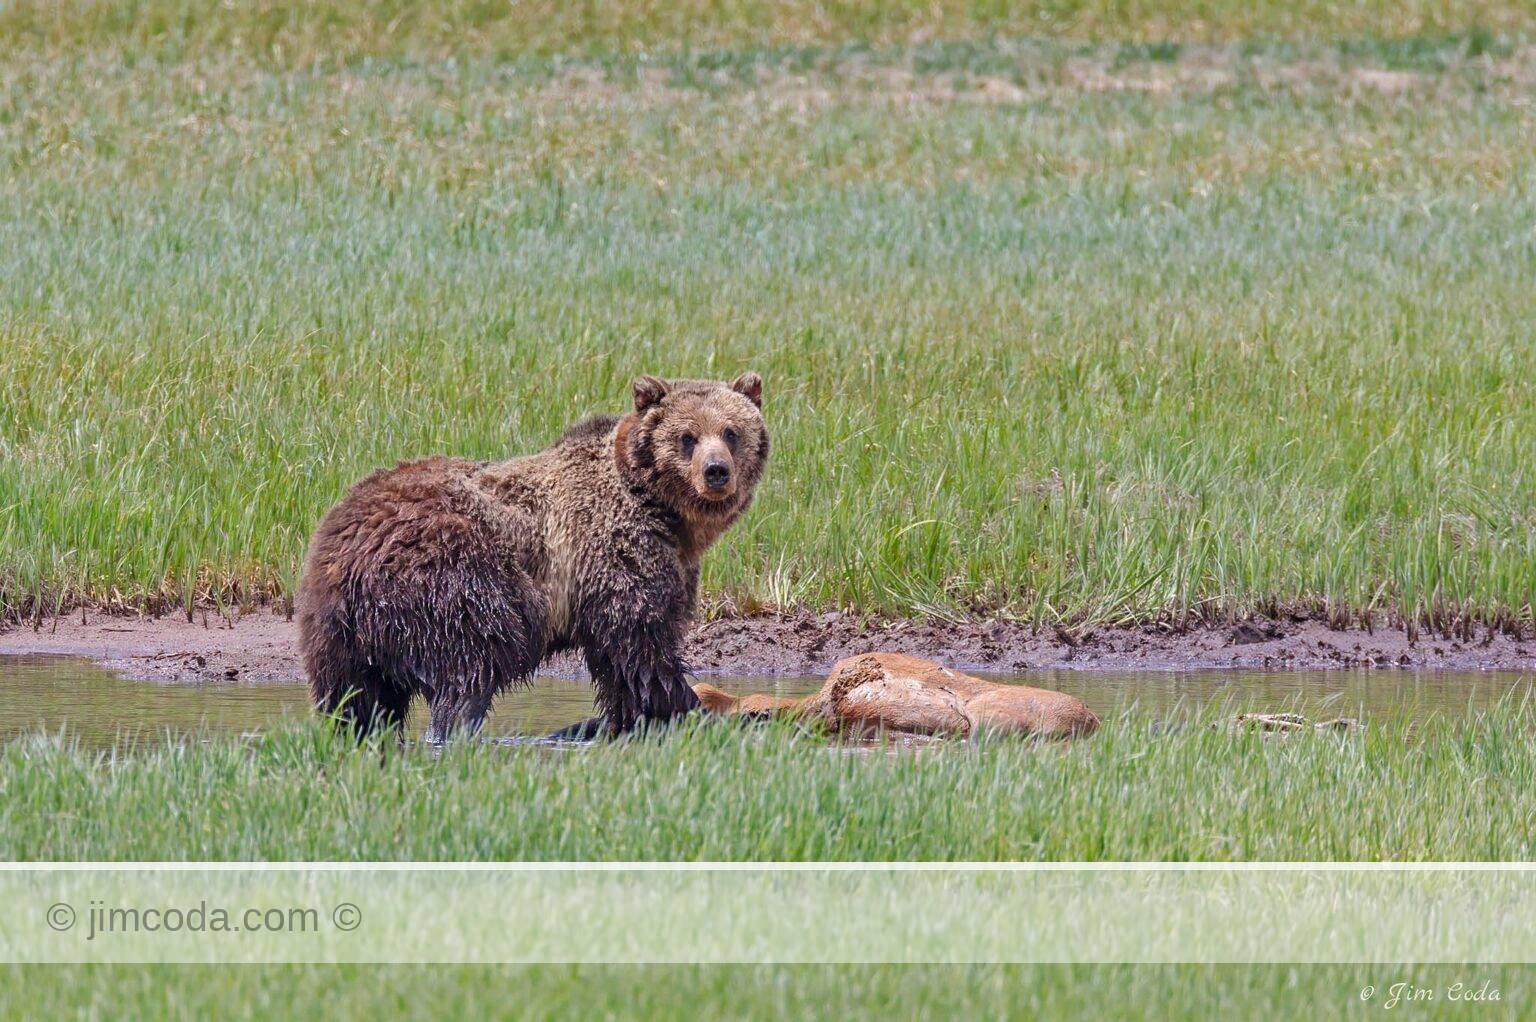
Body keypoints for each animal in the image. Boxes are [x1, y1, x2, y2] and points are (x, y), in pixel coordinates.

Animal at [296, 372, 768, 740]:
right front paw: (691, 709)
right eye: (687, 437)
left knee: (355, 697)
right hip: (452, 575)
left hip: (335, 631)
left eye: (731, 432)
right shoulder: (615, 550)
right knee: (470, 665)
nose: (716, 471)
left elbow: (624, 666)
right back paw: (453, 729)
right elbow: (640, 646)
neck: (666, 516)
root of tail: (348, 551)